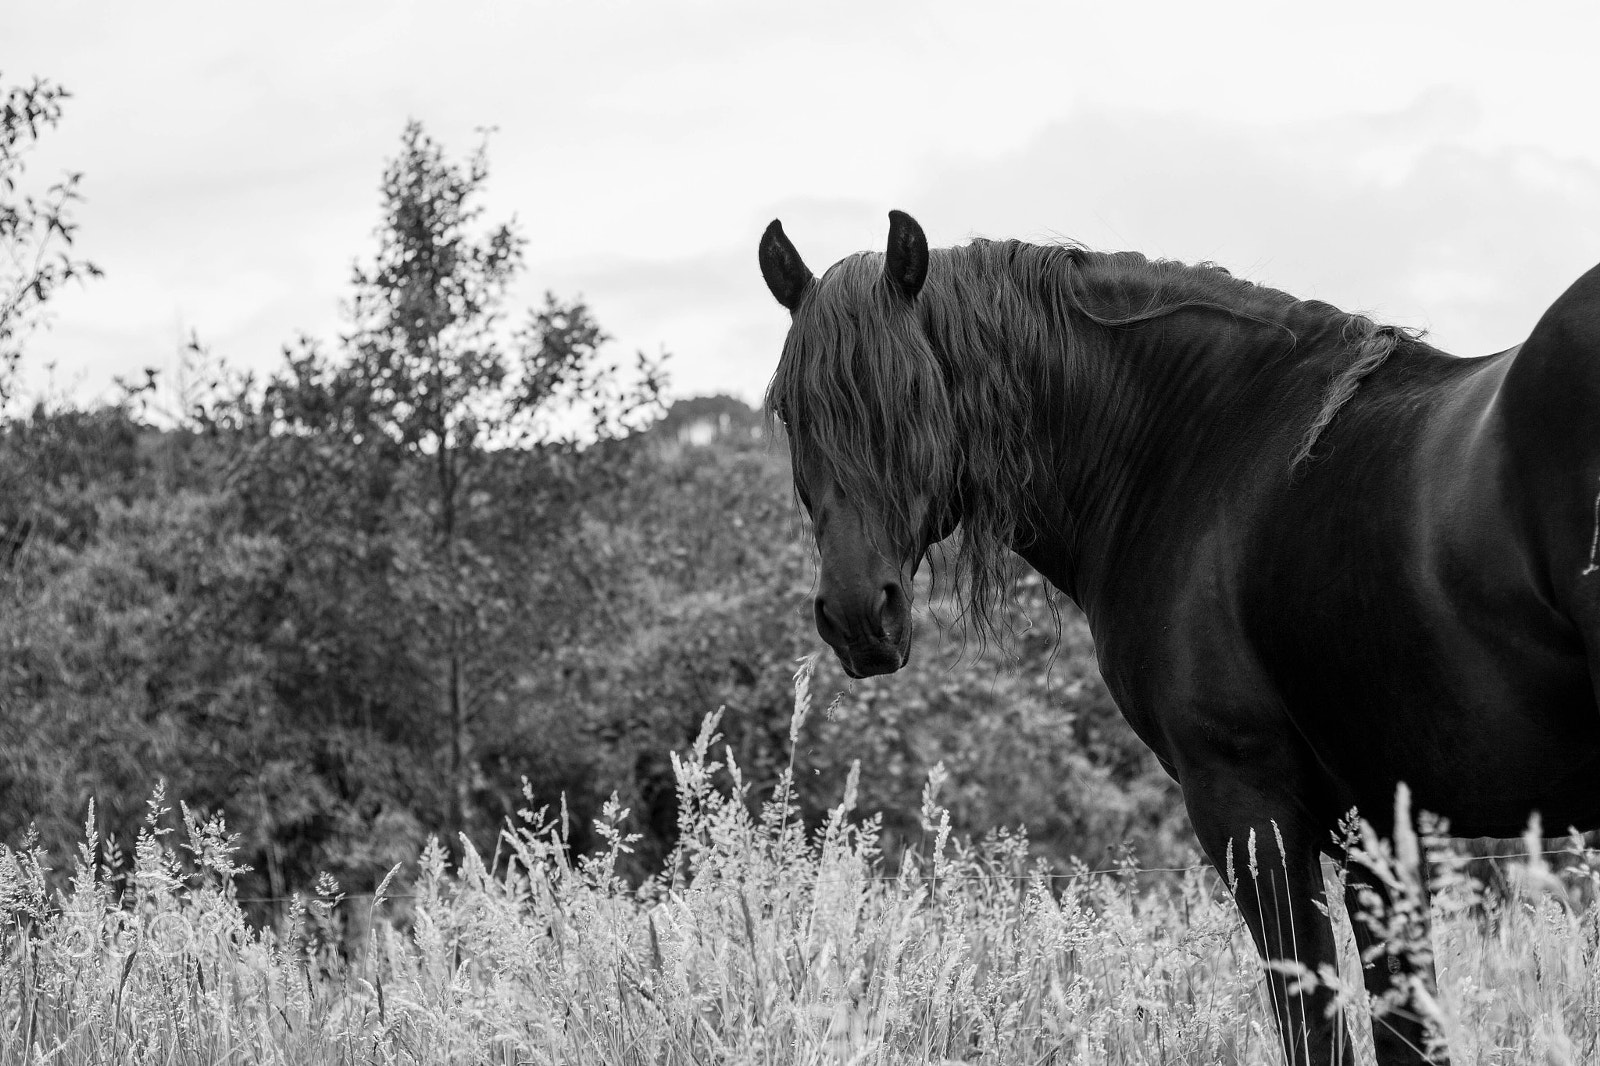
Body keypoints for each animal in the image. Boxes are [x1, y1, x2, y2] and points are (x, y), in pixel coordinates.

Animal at [758, 210, 1600, 1066]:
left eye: (915, 390)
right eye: (789, 410)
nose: (858, 615)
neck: (1198, 448)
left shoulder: (1252, 813)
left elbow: (1313, 1028)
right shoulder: (1379, 835)